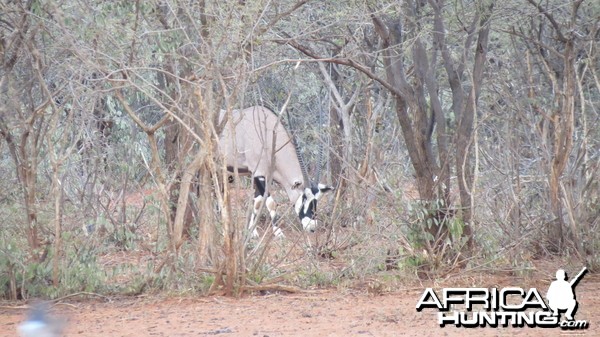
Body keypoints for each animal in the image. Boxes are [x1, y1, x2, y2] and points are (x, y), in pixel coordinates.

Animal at [219, 105, 336, 236]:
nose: (312, 227)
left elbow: (257, 202)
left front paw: (252, 231)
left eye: (317, 199)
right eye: (304, 197)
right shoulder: (259, 174)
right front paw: (278, 232)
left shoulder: (263, 176)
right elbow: (270, 203)